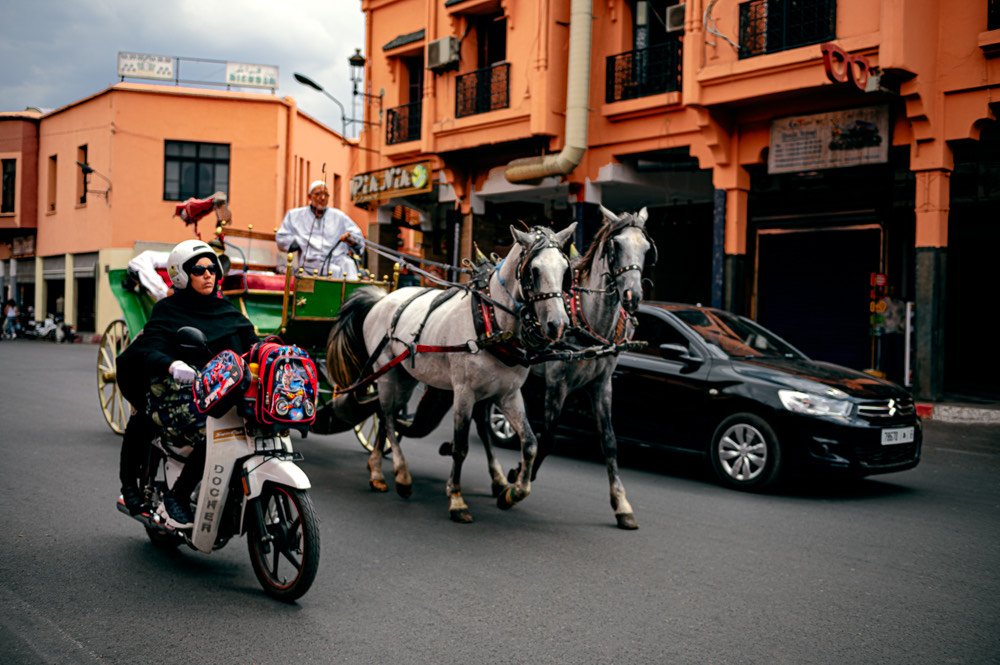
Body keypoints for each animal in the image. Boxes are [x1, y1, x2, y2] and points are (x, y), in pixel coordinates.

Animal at [330, 226, 580, 520]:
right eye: (534, 271)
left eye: (565, 271)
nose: (558, 324)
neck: (491, 322)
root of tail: (381, 299)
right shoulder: (464, 392)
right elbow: (460, 447)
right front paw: (457, 499)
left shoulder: (508, 395)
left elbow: (529, 443)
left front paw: (513, 493)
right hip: (385, 372)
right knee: (388, 418)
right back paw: (400, 476)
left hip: (404, 376)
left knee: (384, 414)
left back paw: (377, 470)